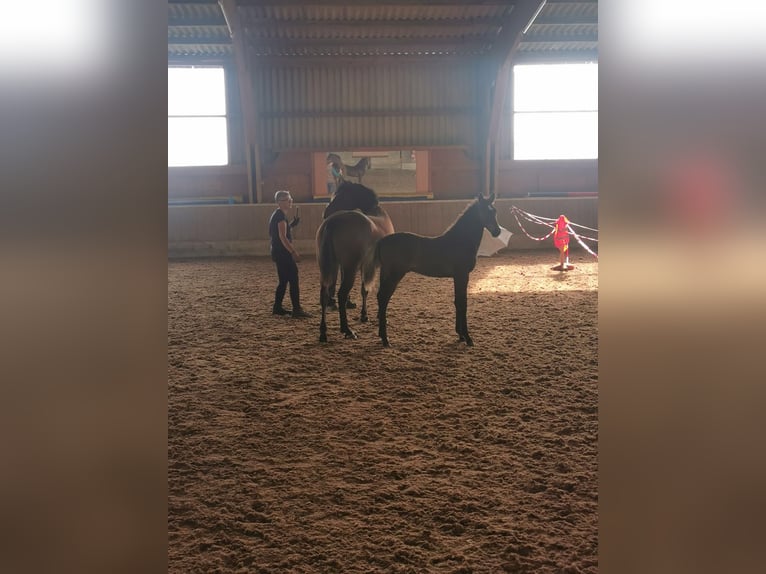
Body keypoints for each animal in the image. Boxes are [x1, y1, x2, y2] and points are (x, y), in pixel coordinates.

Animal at [316, 182, 395, 343]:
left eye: (341, 195)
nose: (325, 212)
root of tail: (331, 222)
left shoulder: (364, 266)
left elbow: (364, 290)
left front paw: (364, 315)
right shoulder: (379, 267)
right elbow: (375, 290)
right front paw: (378, 316)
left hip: (329, 268)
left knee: (324, 295)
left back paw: (323, 332)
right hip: (349, 269)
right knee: (341, 294)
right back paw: (347, 330)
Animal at [361, 193, 501, 347]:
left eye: (495, 211)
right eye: (485, 211)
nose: (497, 231)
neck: (460, 241)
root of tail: (382, 241)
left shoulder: (457, 277)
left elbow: (457, 301)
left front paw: (460, 335)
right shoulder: (462, 275)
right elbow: (462, 303)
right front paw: (468, 338)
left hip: (385, 273)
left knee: (381, 298)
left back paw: (382, 335)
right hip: (395, 274)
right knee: (383, 297)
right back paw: (386, 340)